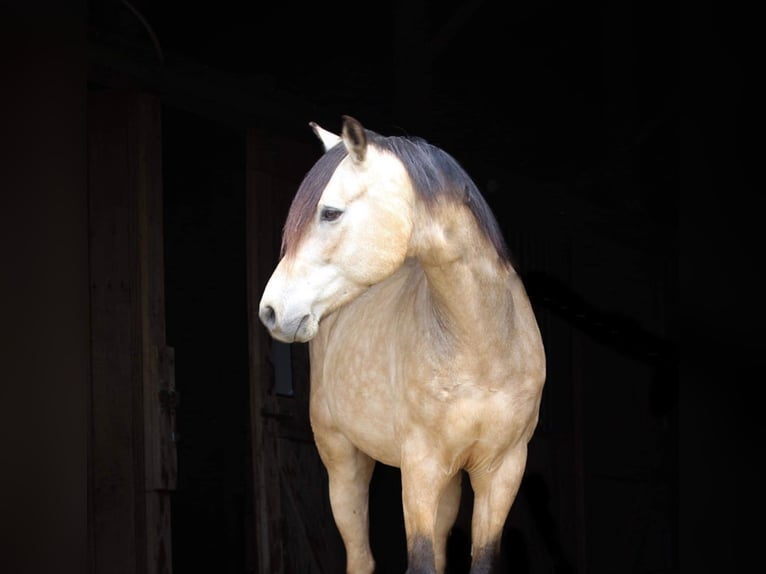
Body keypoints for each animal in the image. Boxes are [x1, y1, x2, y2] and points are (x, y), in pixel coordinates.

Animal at [260, 115, 548, 572]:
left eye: (330, 212)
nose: (271, 309)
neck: (481, 346)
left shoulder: (501, 470)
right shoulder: (420, 467)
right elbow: (421, 562)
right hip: (343, 463)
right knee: (360, 557)